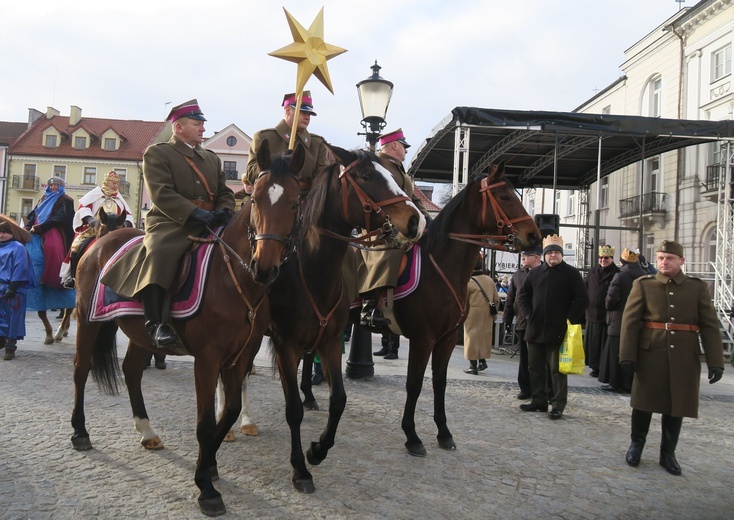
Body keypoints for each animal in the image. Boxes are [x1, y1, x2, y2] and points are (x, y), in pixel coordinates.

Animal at [71, 141, 304, 516]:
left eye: (295, 203)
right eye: (256, 201)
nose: (264, 267)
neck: (234, 278)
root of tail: (101, 241)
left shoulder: (241, 356)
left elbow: (231, 410)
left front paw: (208, 466)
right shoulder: (207, 359)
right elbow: (206, 422)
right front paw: (206, 487)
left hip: (140, 333)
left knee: (131, 370)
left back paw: (146, 430)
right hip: (87, 320)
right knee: (81, 369)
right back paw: (80, 432)